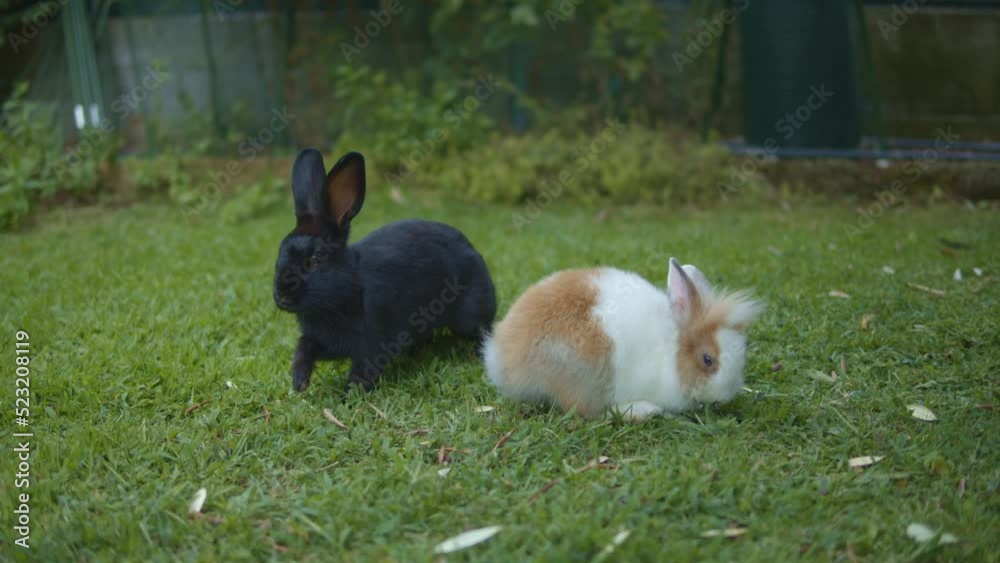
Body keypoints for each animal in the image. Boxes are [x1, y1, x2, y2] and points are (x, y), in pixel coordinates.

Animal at [273, 149, 496, 391]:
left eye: (314, 260)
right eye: (280, 253)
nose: (281, 296)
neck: (347, 289)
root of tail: (472, 249)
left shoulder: (371, 341)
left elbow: (364, 368)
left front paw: (351, 392)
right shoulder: (325, 342)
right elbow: (304, 346)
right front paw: (299, 381)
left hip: (469, 316)